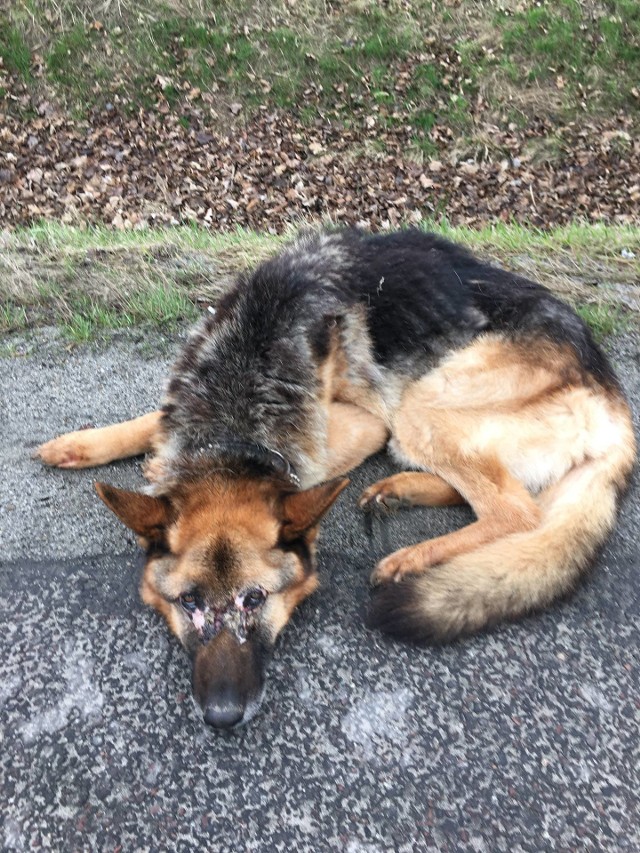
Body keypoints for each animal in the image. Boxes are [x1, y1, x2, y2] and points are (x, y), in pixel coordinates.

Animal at [37, 230, 636, 728]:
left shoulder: (362, 427)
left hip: (415, 406)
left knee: (515, 511)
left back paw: (412, 557)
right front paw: (87, 445)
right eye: (188, 603)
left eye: (255, 601)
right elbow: (151, 422)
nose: (222, 718)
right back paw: (400, 491)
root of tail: (618, 413)